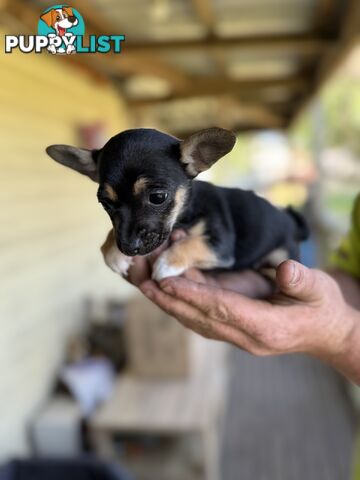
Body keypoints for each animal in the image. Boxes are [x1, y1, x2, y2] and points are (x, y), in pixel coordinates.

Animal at [45, 127, 310, 282]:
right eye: (105, 203)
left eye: (157, 197)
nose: (128, 248)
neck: (185, 215)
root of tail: (290, 220)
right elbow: (114, 230)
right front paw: (112, 251)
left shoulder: (220, 246)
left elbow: (192, 243)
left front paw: (167, 262)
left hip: (282, 253)